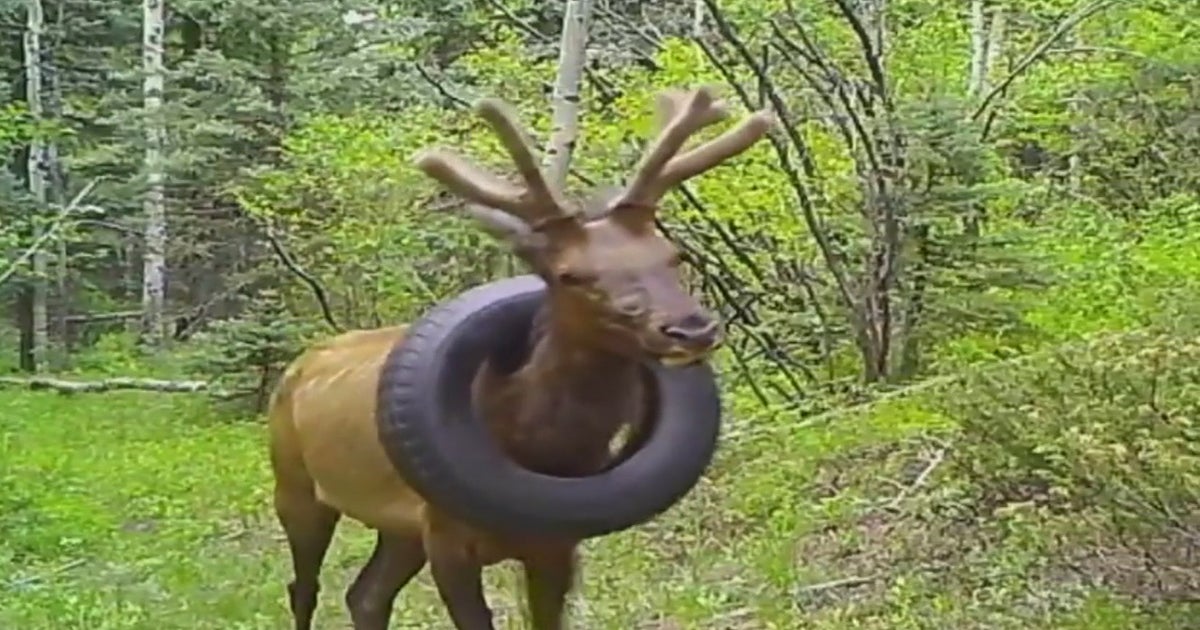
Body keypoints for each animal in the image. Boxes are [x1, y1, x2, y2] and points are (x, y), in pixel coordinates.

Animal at [267, 85, 774, 629]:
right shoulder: (446, 536)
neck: (531, 440)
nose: (692, 328)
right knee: (304, 587)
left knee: (365, 593)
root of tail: (299, 365)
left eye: (671, 254)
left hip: (400, 526)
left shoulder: (556, 545)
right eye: (569, 274)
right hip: (295, 483)